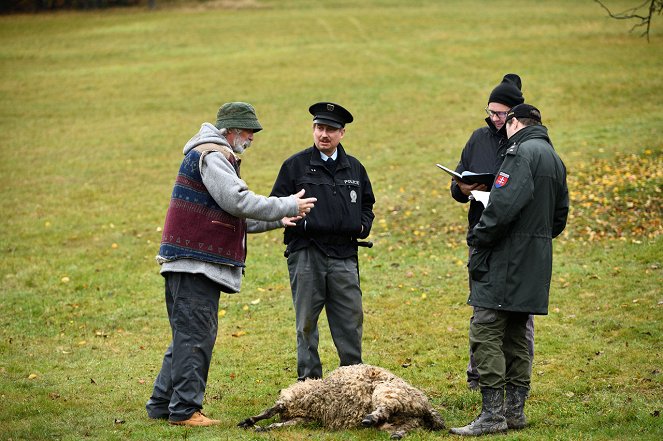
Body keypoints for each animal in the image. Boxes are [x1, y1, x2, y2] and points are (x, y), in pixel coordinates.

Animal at [239, 362, 446, 438]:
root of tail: (425, 407)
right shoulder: (305, 417)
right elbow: (280, 423)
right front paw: (261, 427)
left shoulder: (294, 401)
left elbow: (270, 411)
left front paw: (251, 422)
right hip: (408, 417)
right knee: (408, 426)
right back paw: (396, 433)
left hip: (388, 392)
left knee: (385, 408)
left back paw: (370, 419)